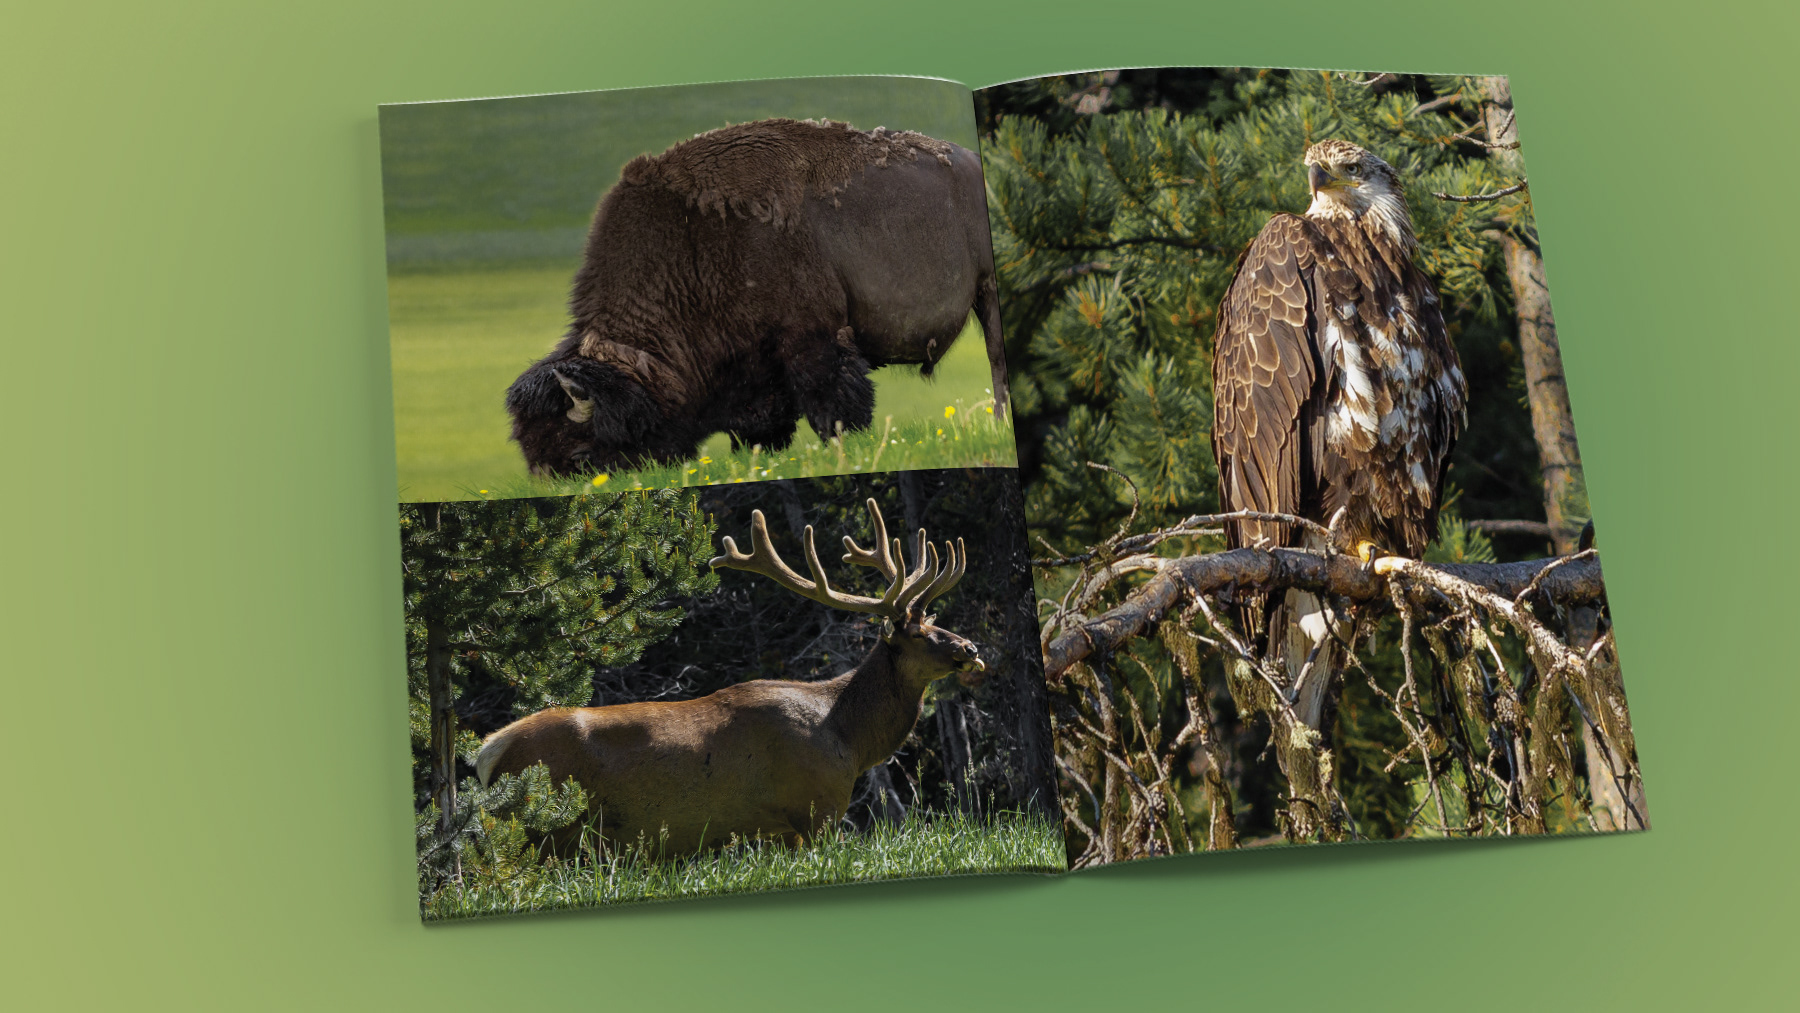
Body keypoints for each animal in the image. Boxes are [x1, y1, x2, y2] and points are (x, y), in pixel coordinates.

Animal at [472, 498, 984, 856]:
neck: (849, 739)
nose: (970, 648)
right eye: (918, 633)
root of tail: (487, 753)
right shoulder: (818, 806)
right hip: (546, 829)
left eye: (935, 620)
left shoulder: (782, 829)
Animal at [504, 118, 1010, 476]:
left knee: (997, 362)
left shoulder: (813, 341)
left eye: (581, 455)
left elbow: (833, 406)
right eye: (531, 457)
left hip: (988, 295)